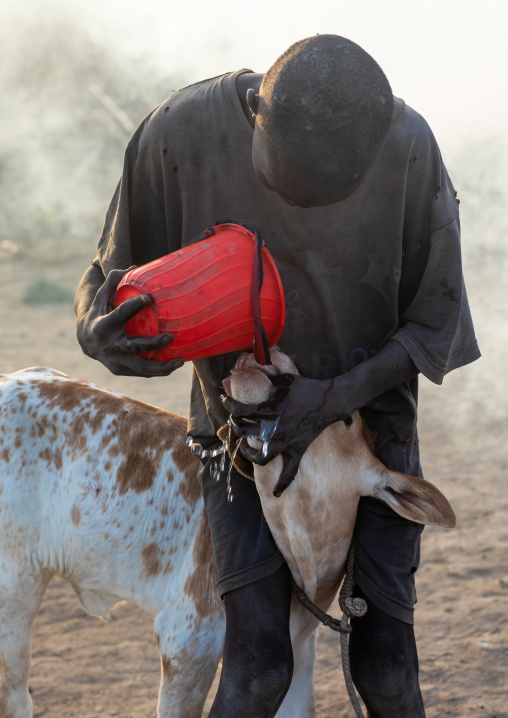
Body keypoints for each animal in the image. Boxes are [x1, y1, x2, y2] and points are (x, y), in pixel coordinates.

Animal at [0, 357, 455, 718]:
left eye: (344, 418)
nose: (271, 360)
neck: (303, 562)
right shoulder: (187, 642)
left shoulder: (299, 650)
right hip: (14, 590)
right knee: (16, 693)